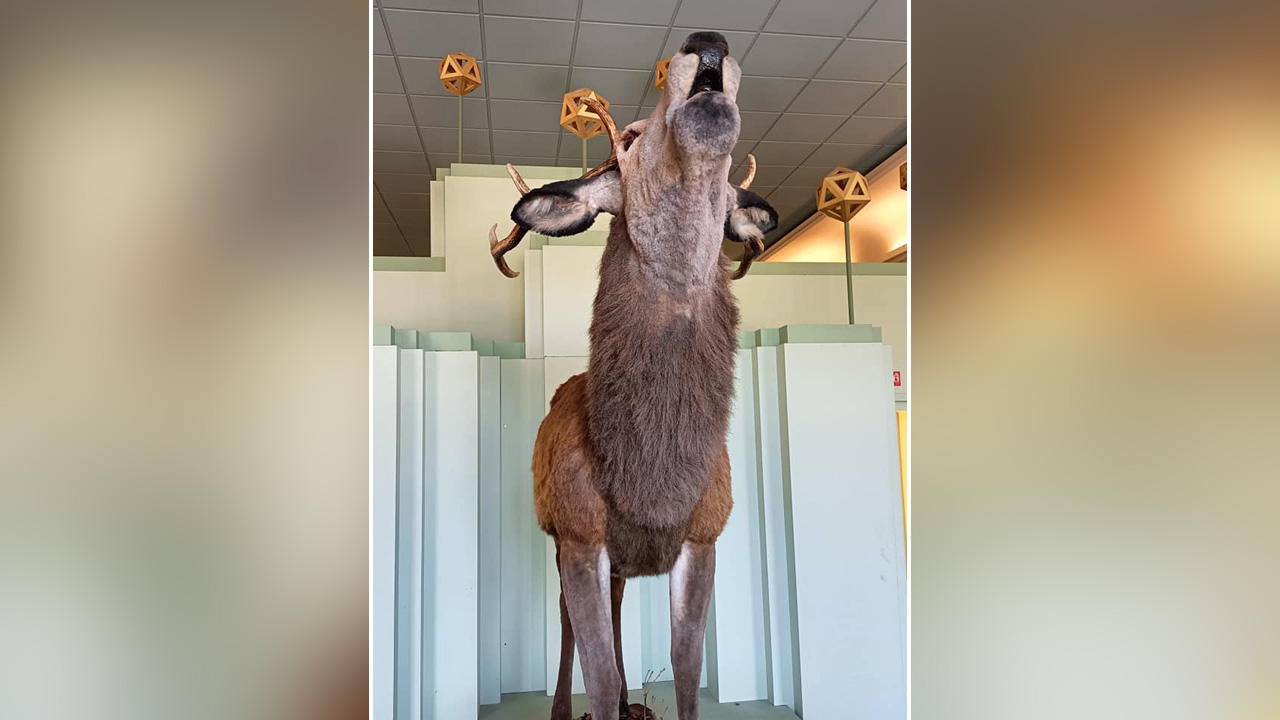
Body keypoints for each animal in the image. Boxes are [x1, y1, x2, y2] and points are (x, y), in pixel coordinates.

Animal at [485, 32, 777, 720]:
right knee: (566, 618)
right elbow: (594, 663)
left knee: (618, 604)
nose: (707, 44)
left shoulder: (706, 534)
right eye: (633, 136)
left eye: (733, 185)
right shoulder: (577, 531)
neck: (649, 482)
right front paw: (595, 700)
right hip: (556, 532)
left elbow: (688, 674)